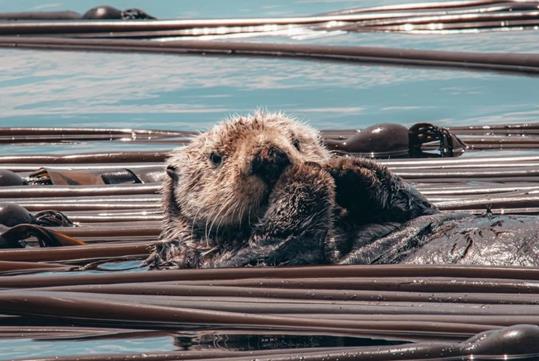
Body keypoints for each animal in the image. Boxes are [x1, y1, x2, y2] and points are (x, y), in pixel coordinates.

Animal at [147, 112, 539, 268]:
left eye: (295, 140)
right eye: (216, 157)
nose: (270, 156)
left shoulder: (412, 209)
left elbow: (416, 205)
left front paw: (344, 168)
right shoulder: (207, 258)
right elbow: (278, 242)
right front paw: (307, 175)